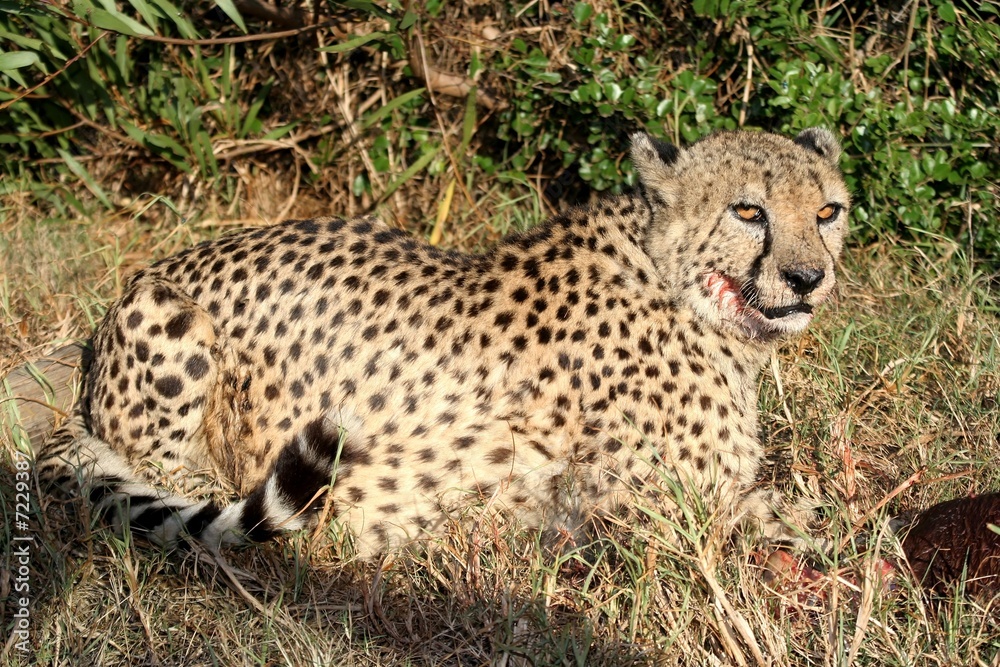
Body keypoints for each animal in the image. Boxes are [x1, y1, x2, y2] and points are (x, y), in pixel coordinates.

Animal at [38, 127, 850, 558]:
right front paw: (824, 525)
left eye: (828, 211)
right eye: (748, 210)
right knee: (167, 474)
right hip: (171, 315)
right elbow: (784, 518)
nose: (810, 277)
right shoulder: (657, 515)